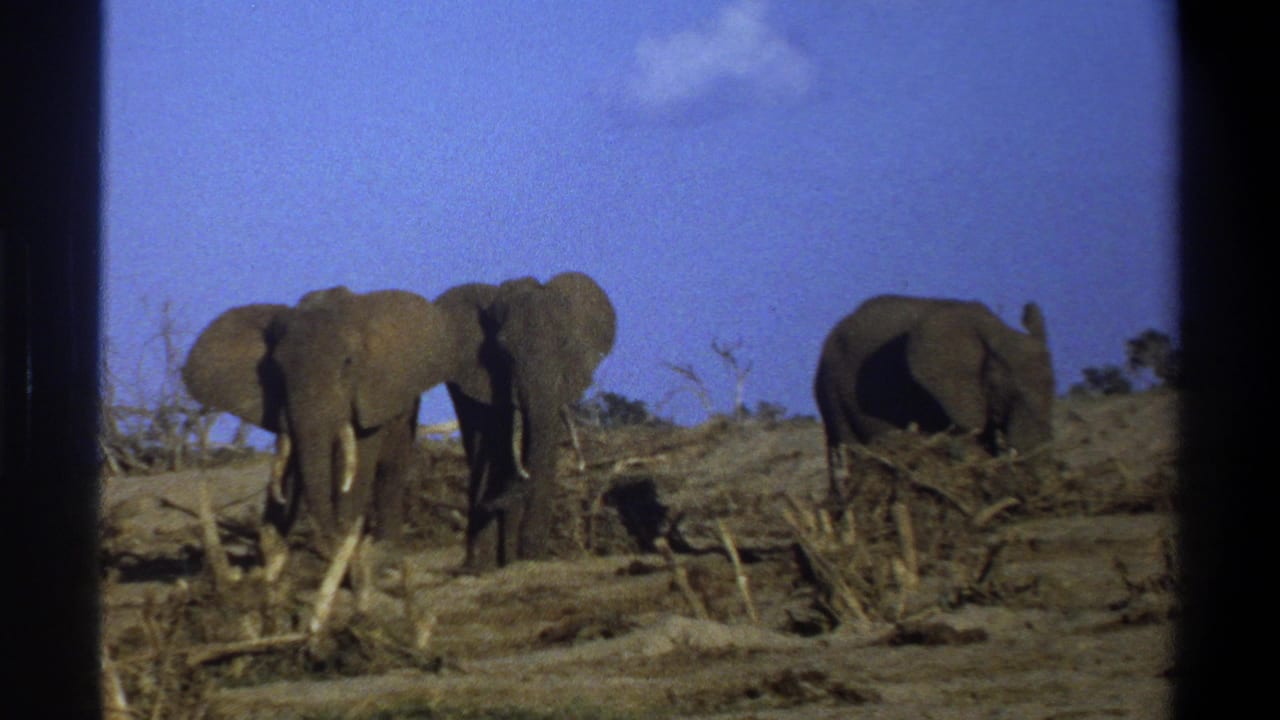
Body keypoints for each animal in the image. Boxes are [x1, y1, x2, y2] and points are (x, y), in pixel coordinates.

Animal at [182, 286, 452, 575]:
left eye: (348, 363)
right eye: (275, 369)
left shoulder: (371, 398)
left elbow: (358, 462)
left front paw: (344, 547)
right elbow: (291, 464)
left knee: (391, 472)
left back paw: (385, 553)